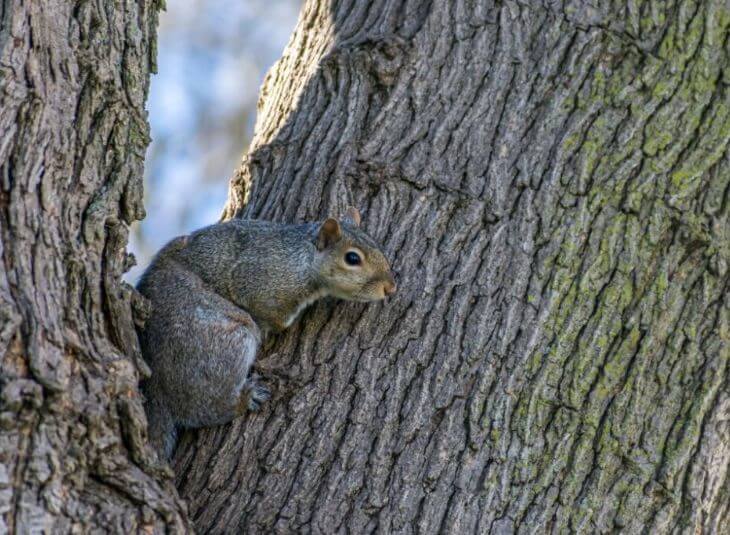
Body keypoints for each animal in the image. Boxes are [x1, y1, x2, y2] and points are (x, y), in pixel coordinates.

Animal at [136, 207, 398, 458]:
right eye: (352, 258)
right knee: (203, 408)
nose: (391, 287)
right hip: (221, 337)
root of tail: (157, 386)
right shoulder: (260, 283)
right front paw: (278, 326)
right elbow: (273, 316)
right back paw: (244, 399)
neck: (302, 260)